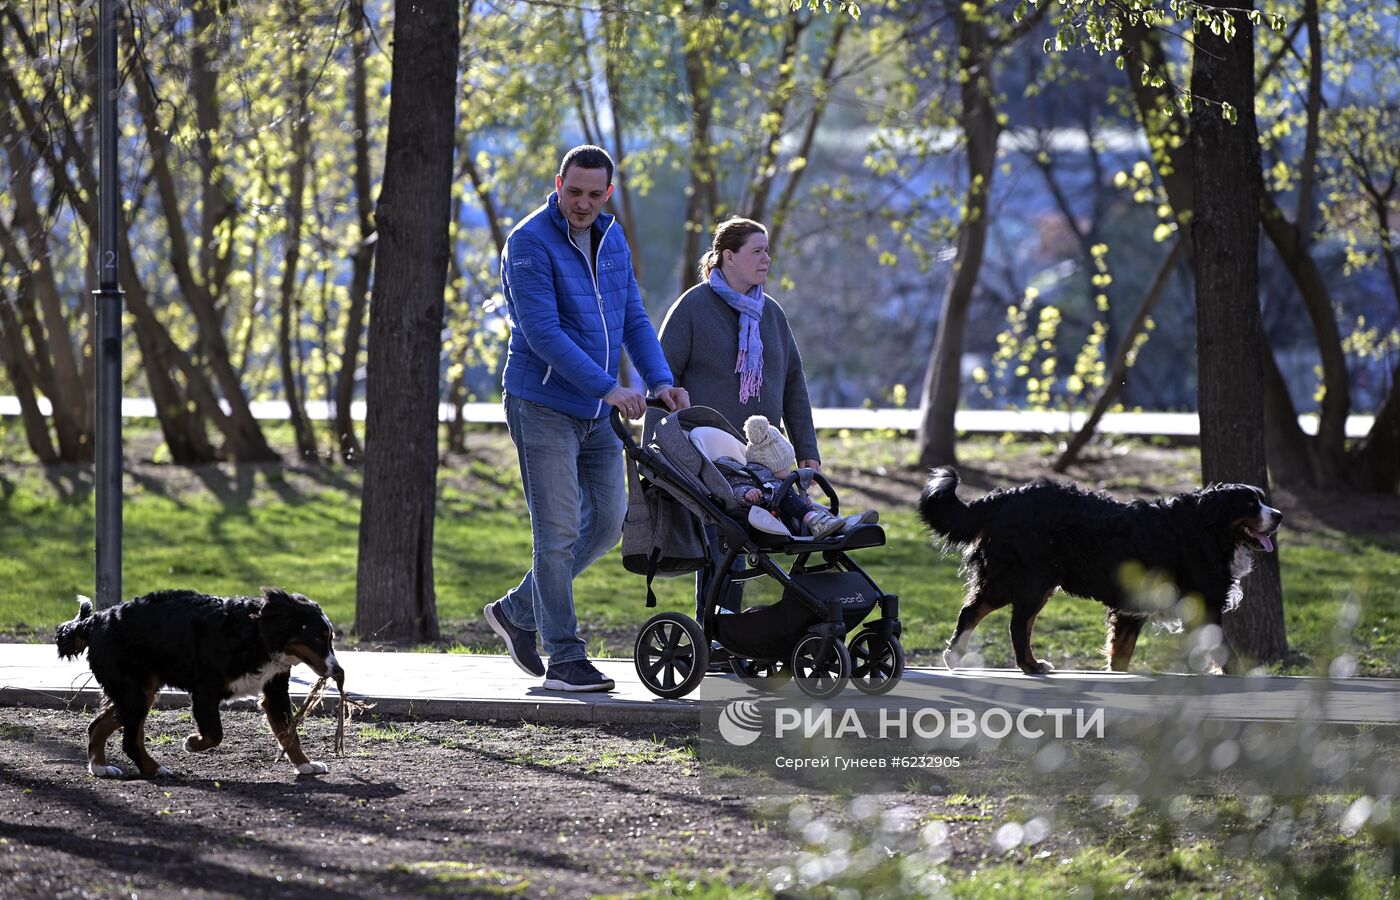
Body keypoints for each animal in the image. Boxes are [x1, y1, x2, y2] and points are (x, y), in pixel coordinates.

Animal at [58, 587, 347, 778]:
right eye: (318, 638)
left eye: (330, 637)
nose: (338, 669)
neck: (257, 634)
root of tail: (94, 621)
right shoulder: (205, 691)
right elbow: (214, 734)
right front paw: (192, 742)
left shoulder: (275, 692)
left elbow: (290, 734)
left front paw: (305, 765)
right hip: (135, 693)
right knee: (129, 739)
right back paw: (155, 769)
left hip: (137, 693)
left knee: (100, 727)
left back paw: (100, 767)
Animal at [918, 467, 1282, 671]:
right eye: (1251, 504)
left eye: (1263, 499)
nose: (1278, 516)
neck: (1206, 529)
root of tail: (1003, 497)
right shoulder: (1205, 607)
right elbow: (1226, 654)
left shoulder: (1132, 610)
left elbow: (1121, 654)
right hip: (1026, 581)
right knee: (1004, 622)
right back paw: (1028, 666)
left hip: (1031, 582)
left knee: (993, 617)